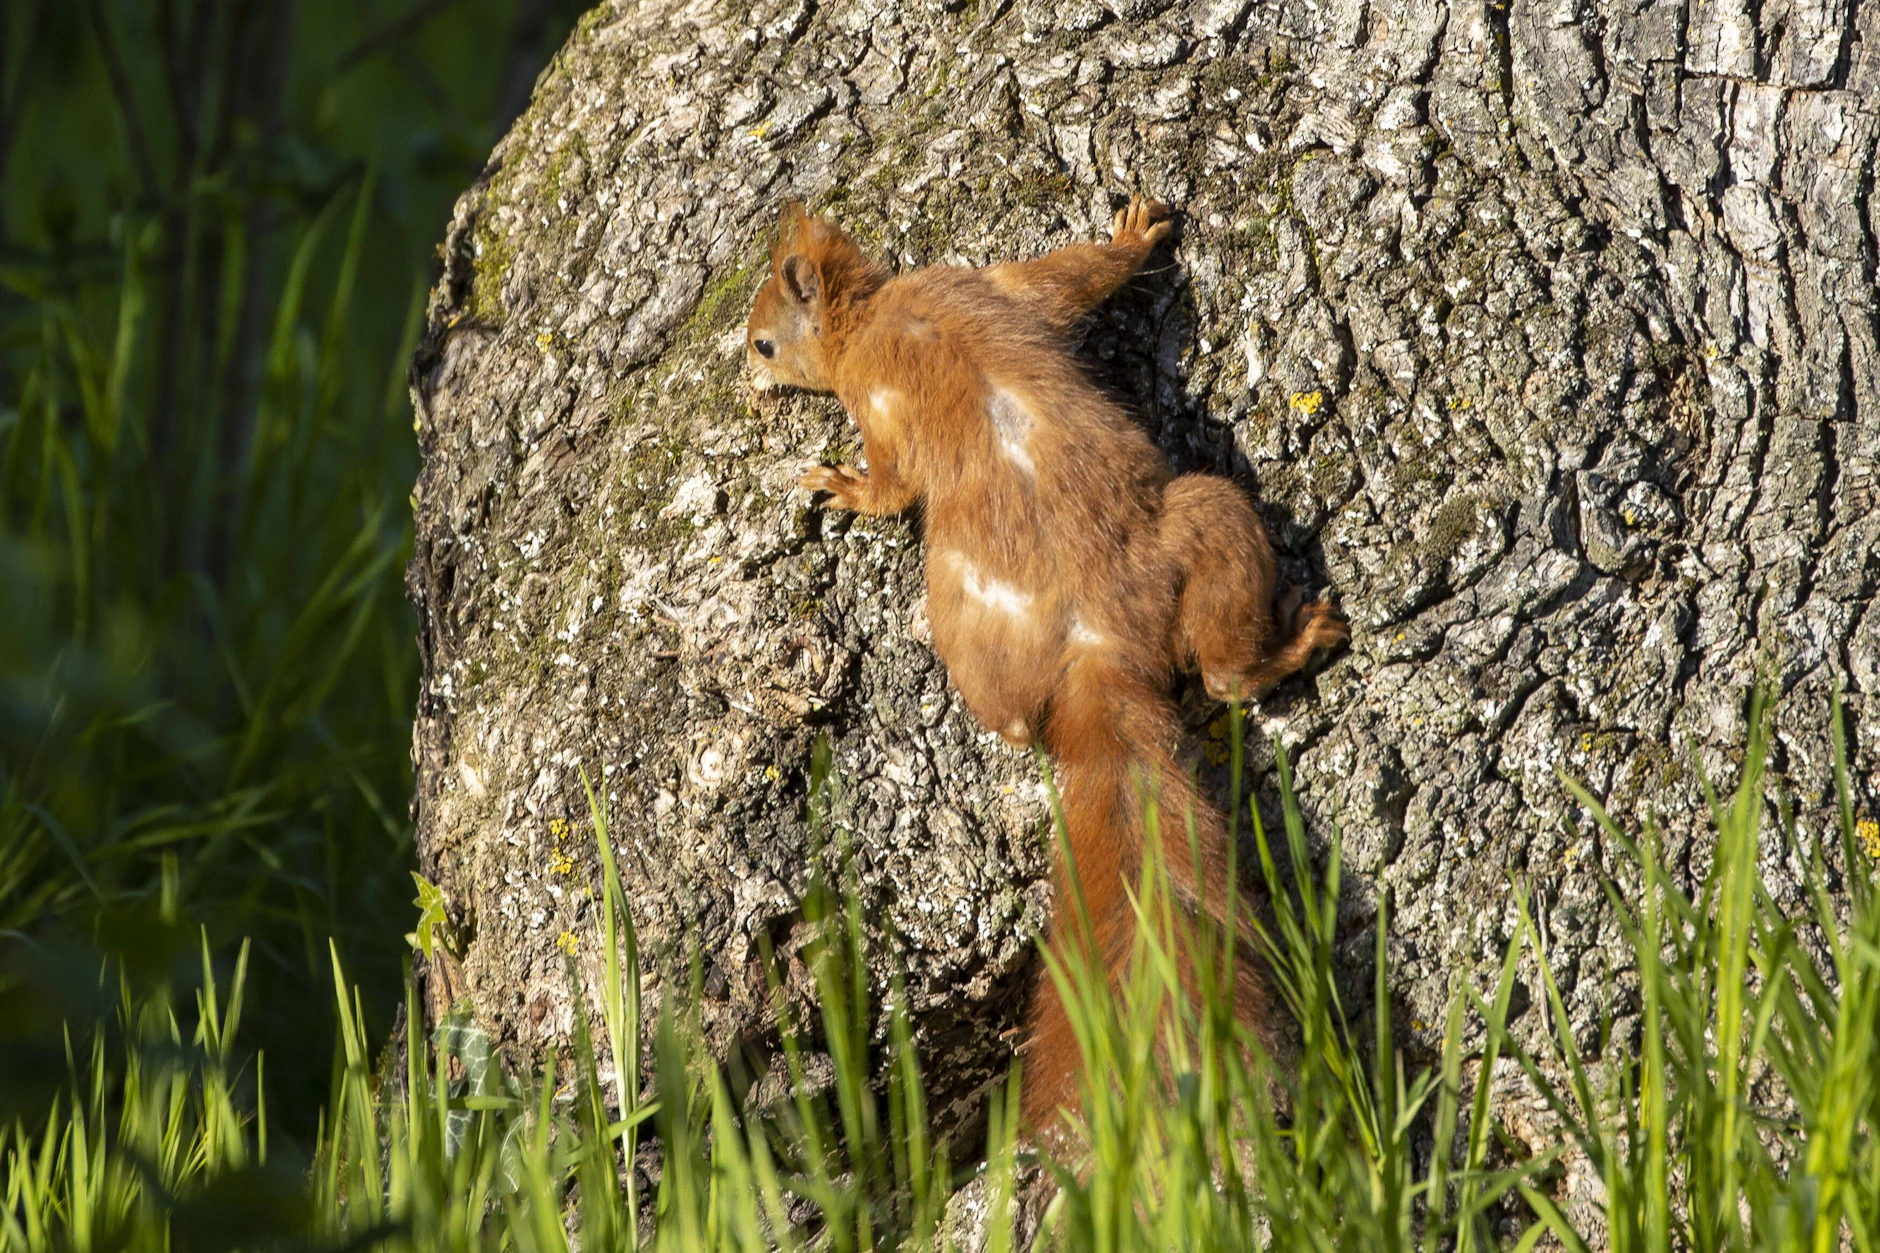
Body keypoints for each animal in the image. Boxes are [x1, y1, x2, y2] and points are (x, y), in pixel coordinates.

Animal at [744, 196, 1348, 1133]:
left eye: (767, 341)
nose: (746, 370)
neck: (873, 312)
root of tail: (1100, 643)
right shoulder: (991, 285)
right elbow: (1071, 280)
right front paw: (1136, 236)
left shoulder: (893, 385)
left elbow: (892, 482)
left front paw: (840, 485)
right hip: (1196, 525)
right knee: (1218, 671)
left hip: (981, 615)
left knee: (1192, 683)